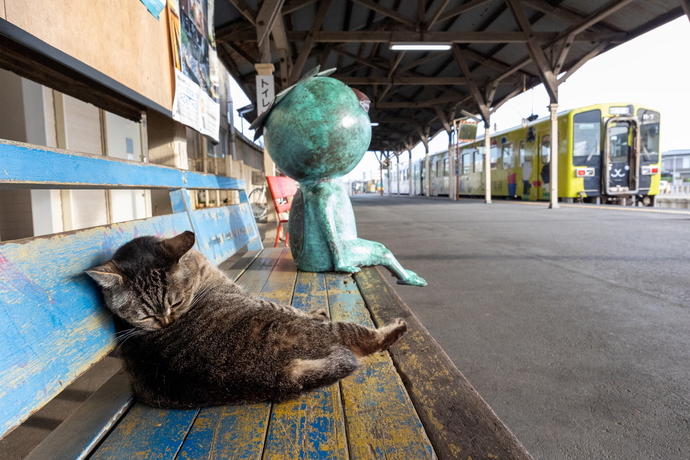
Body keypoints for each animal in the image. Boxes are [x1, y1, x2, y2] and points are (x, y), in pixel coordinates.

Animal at [88, 232, 406, 408]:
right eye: (144, 315)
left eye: (176, 303)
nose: (166, 323)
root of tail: (279, 375)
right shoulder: (257, 299)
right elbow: (290, 308)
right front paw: (313, 311)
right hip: (326, 333)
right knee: (363, 338)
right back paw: (394, 329)